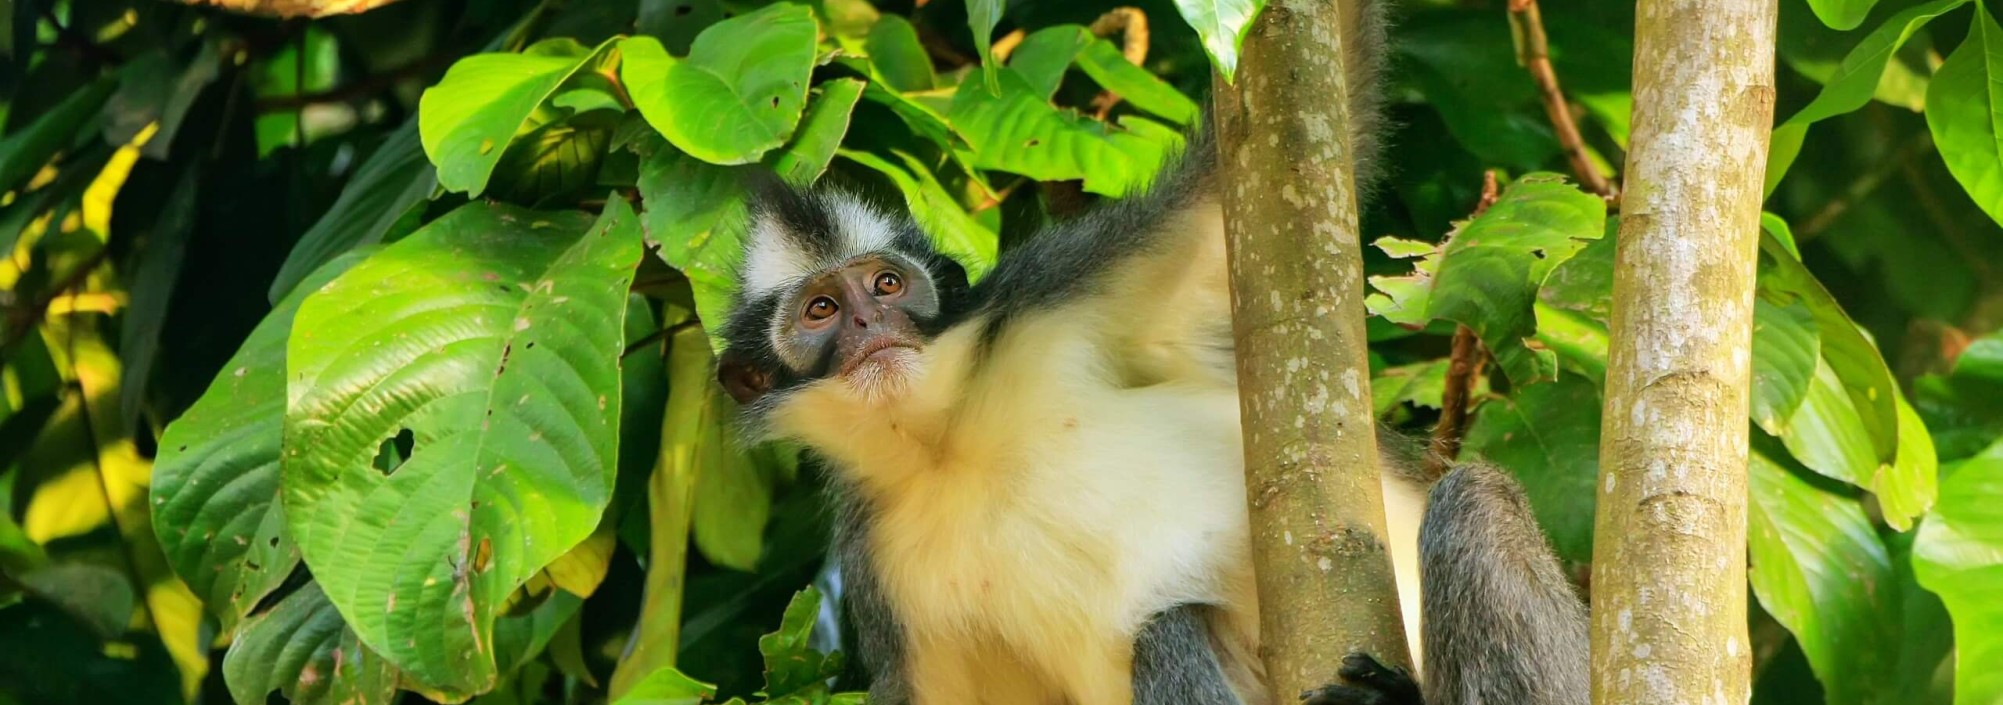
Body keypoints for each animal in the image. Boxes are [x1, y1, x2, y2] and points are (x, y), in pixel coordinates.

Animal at [710, 0, 1589, 701]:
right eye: (822, 310)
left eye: (887, 285)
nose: (869, 329)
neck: (948, 440)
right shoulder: (881, 572)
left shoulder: (1055, 286)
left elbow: (1308, 108)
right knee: (1166, 627)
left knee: (1471, 500)